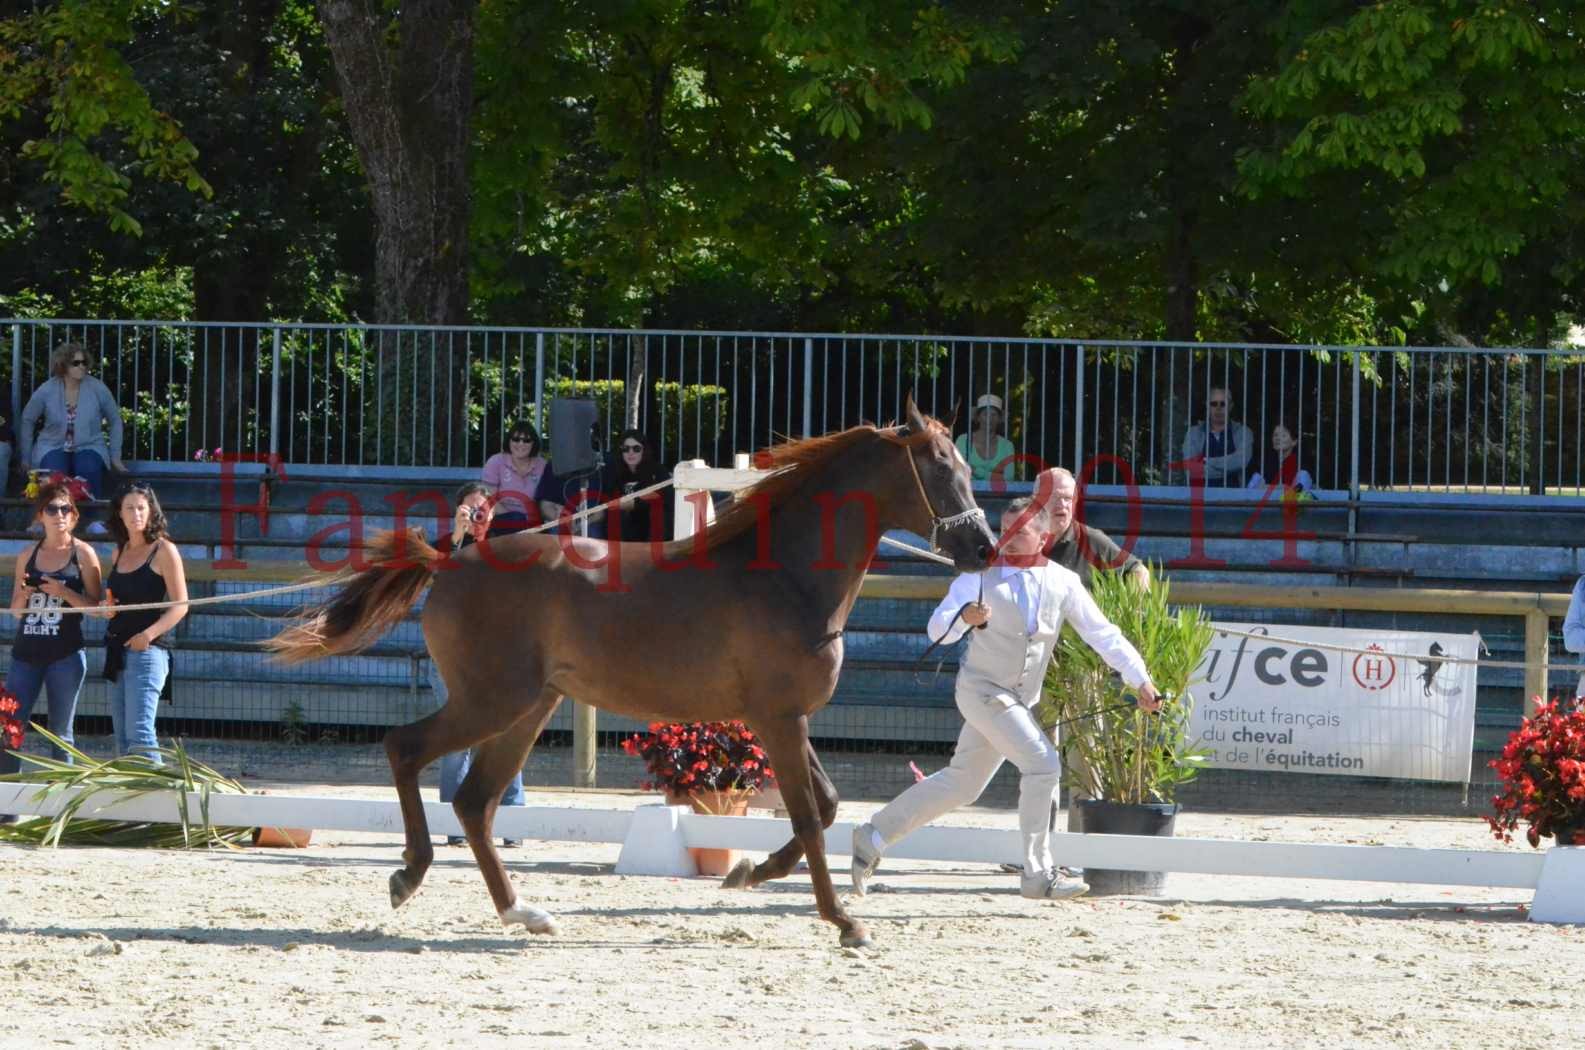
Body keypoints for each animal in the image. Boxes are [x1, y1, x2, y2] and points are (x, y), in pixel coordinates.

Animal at [269, 399, 989, 951]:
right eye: (940, 468)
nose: (982, 547)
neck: (784, 576)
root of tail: (451, 560)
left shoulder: (782, 718)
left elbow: (829, 804)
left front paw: (749, 873)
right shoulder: (778, 718)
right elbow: (811, 816)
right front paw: (843, 921)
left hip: (528, 708)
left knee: (474, 800)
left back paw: (522, 913)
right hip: (491, 700)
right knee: (406, 750)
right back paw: (410, 875)